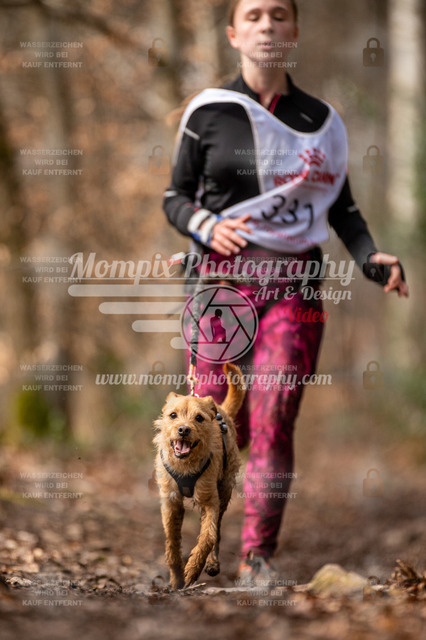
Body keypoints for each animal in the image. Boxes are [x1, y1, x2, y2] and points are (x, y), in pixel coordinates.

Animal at [153, 362, 245, 590]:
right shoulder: (171, 502)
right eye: (173, 415)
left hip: (225, 489)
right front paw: (176, 577)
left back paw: (212, 563)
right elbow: (172, 541)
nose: (183, 429)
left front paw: (193, 569)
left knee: (217, 531)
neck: (185, 465)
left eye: (199, 418)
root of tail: (221, 410)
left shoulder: (210, 500)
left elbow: (208, 536)